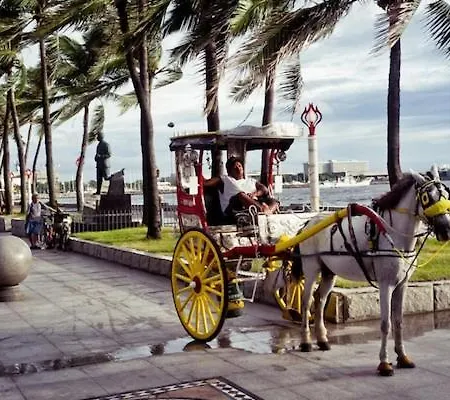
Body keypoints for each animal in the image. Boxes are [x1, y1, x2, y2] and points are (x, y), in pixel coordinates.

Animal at [297, 168, 450, 376]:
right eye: (427, 197)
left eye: (446, 195)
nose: (446, 229)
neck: (393, 235)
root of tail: (308, 223)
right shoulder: (386, 285)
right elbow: (386, 324)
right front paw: (384, 363)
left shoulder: (402, 285)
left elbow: (398, 321)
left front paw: (402, 357)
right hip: (311, 267)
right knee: (306, 303)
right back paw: (305, 342)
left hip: (329, 272)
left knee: (319, 300)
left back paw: (322, 340)